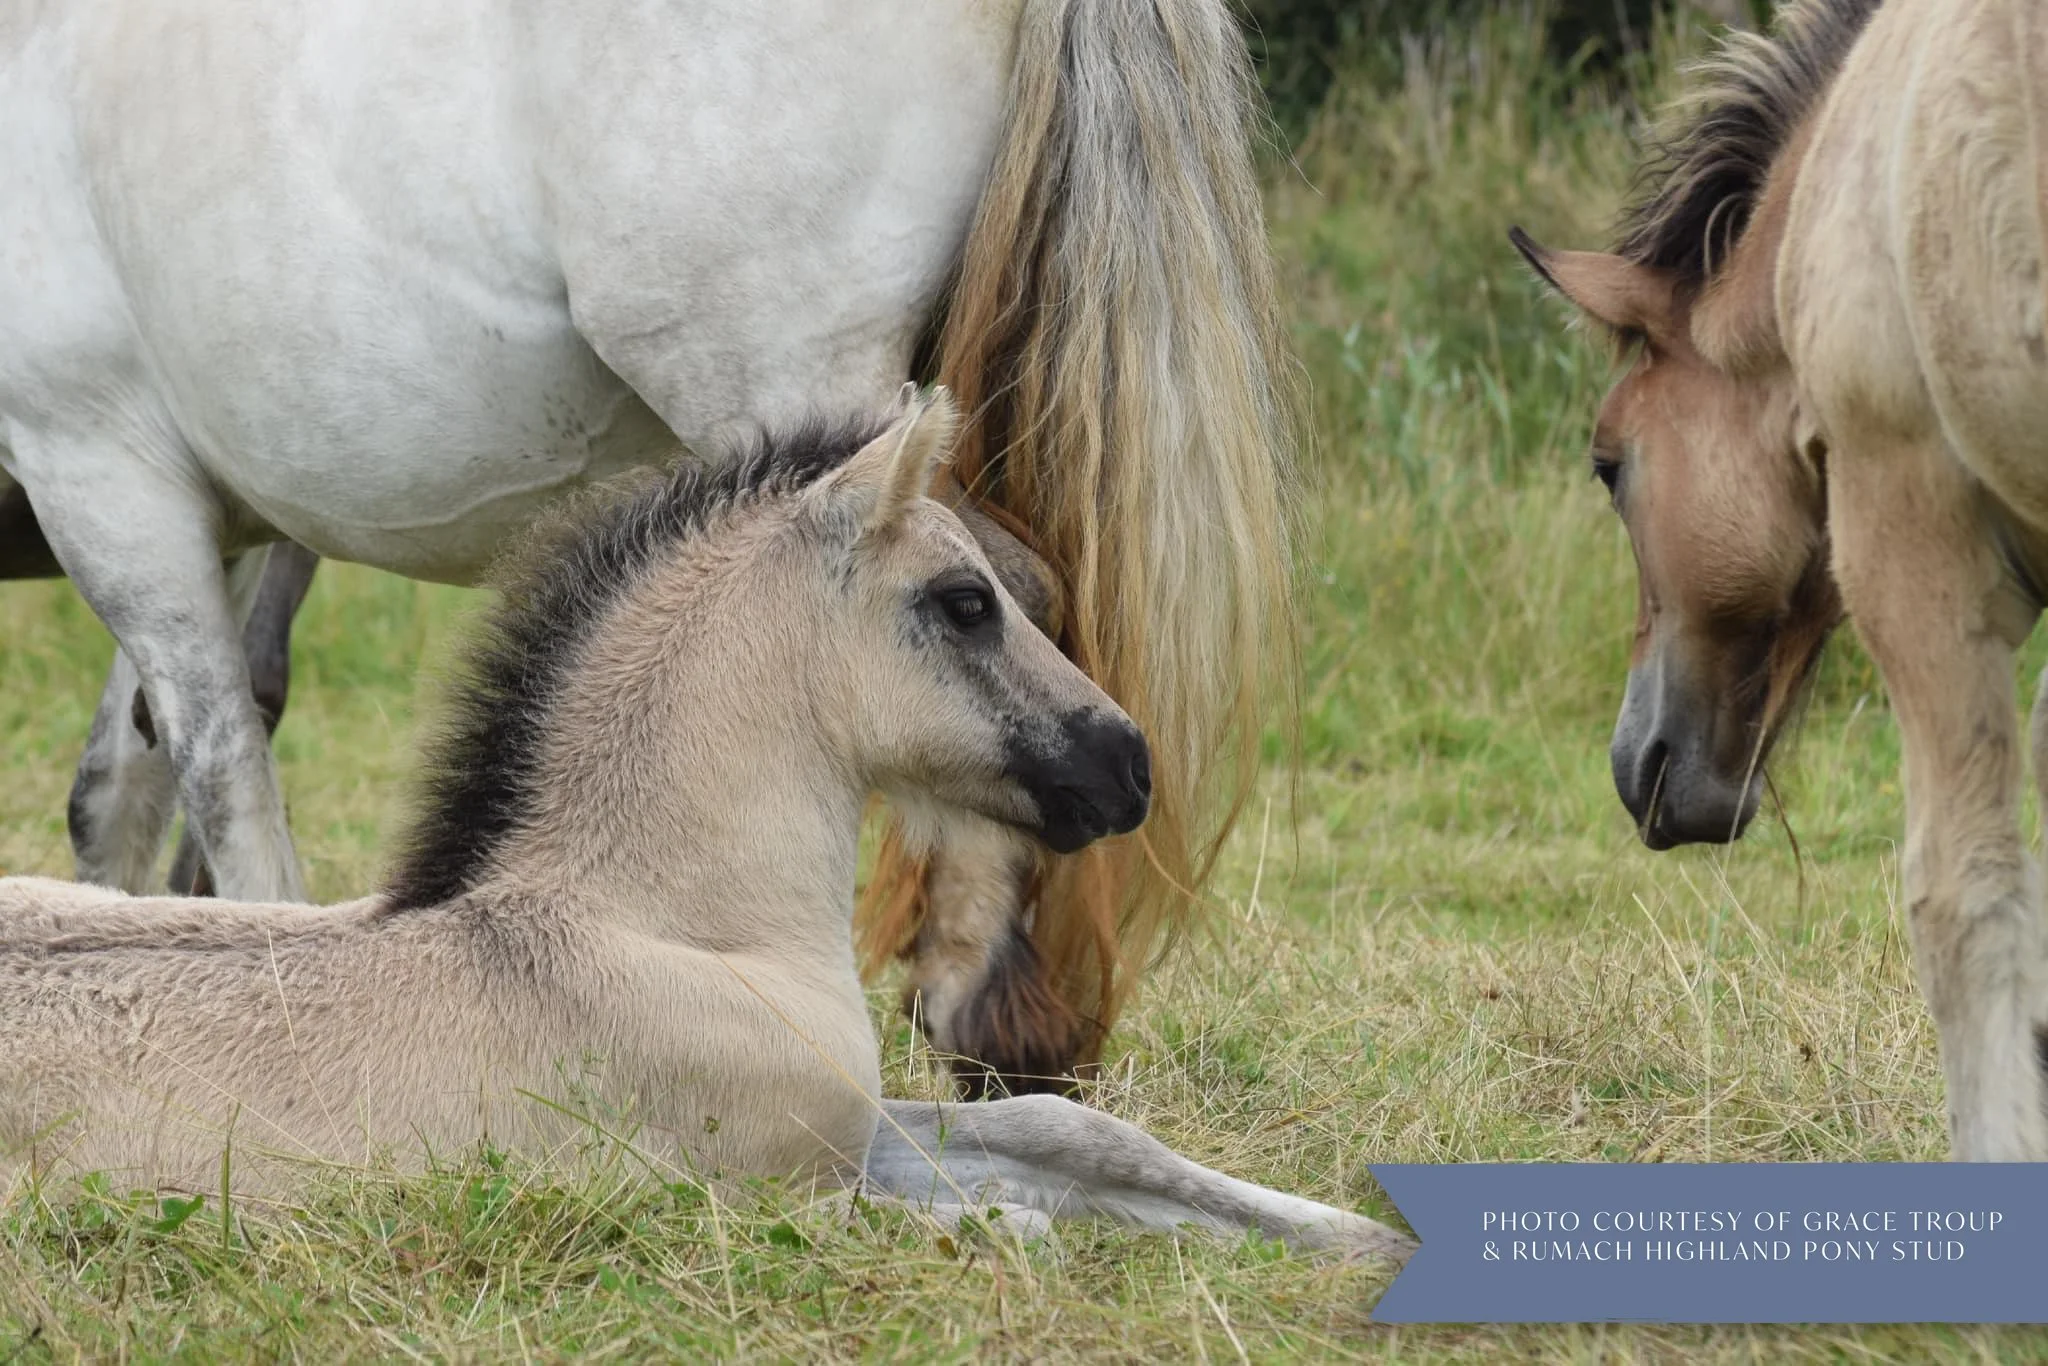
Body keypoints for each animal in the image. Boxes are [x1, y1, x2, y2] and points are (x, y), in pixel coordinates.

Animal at [0, 394, 1413, 1261]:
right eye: (964, 602)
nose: (1124, 767)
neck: (667, 930)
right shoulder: (766, 1183)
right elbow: (1011, 1222)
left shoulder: (849, 1118)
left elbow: (1067, 1138)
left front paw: (1361, 1236)